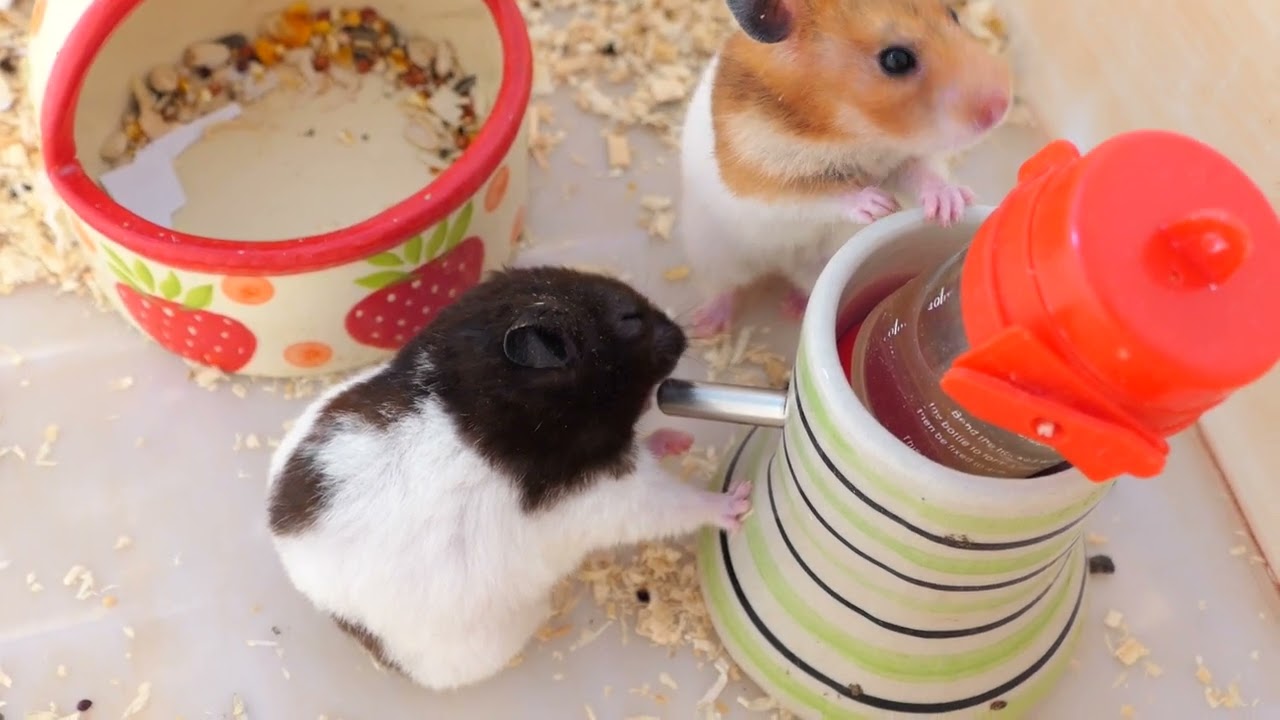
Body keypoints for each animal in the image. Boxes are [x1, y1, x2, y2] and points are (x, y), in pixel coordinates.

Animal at [264, 266, 752, 691]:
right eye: (631, 319)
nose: (683, 333)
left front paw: (680, 439)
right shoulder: (613, 495)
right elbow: (679, 505)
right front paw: (739, 502)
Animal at [678, 0, 1012, 336]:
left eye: (953, 15)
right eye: (896, 60)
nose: (1002, 106)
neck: (853, 131)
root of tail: (782, 266)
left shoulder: (903, 159)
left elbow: (923, 175)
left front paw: (951, 205)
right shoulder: (759, 179)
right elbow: (820, 196)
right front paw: (878, 205)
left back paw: (791, 308)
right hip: (712, 254)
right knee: (724, 288)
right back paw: (704, 325)